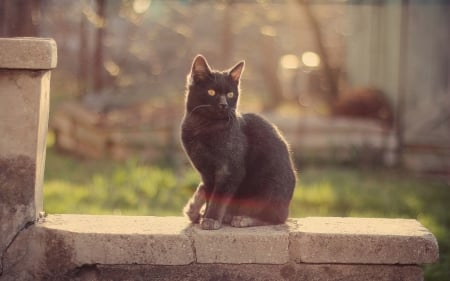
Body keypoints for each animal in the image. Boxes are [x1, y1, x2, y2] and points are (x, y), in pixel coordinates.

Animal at [181, 54, 298, 230]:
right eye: (211, 92)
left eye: (230, 94)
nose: (223, 104)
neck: (204, 127)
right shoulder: (206, 173)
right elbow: (210, 196)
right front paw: (207, 216)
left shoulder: (229, 169)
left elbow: (218, 198)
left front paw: (212, 219)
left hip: (270, 187)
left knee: (275, 218)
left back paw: (243, 219)